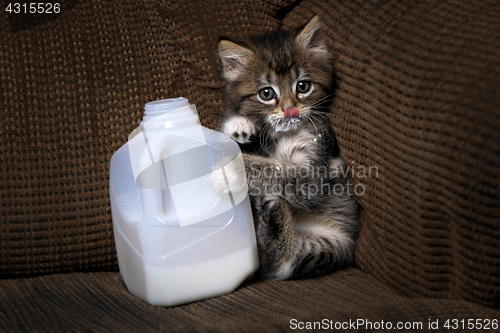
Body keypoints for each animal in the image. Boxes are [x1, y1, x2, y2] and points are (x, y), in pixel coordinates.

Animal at [215, 16, 360, 280]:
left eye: (302, 87)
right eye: (266, 93)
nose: (289, 110)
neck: (284, 135)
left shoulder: (314, 173)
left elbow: (280, 170)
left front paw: (230, 170)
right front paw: (238, 125)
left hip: (329, 245)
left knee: (282, 262)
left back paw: (274, 210)